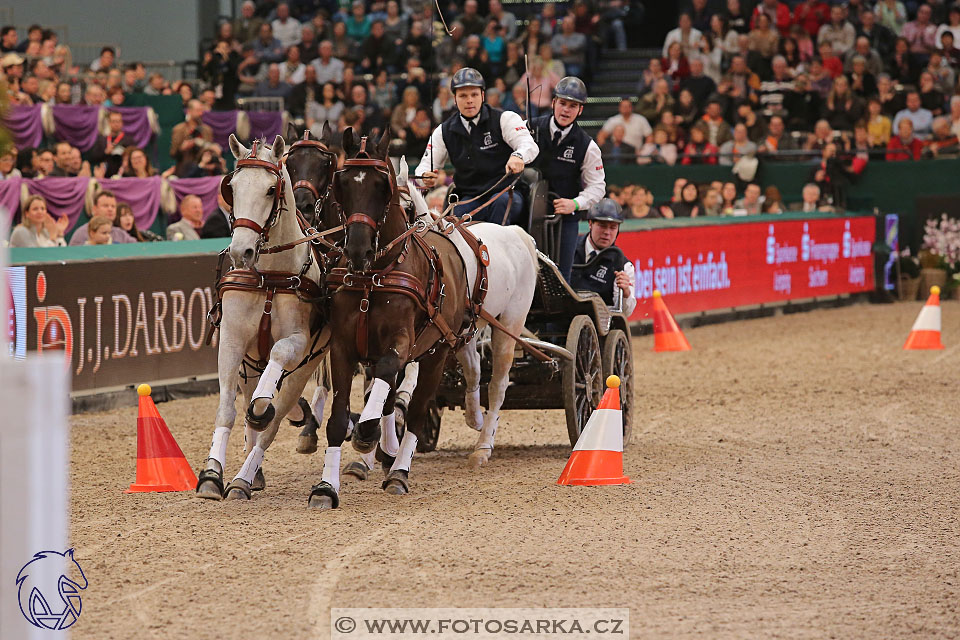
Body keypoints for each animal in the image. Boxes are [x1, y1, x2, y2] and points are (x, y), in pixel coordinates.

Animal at [197, 136, 328, 500]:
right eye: (232, 187)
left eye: (271, 189)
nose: (241, 251)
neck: (269, 277)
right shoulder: (232, 341)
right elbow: (226, 410)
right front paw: (211, 474)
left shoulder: (298, 343)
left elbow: (267, 396)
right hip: (249, 365)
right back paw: (250, 476)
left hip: (307, 365)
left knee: (273, 417)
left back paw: (244, 477)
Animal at [312, 127, 468, 510]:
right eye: (342, 184)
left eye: (382, 185)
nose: (357, 249)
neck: (374, 277)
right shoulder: (342, 348)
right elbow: (338, 419)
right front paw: (326, 487)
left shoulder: (401, 343)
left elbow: (387, 380)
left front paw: (367, 435)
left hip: (436, 354)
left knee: (416, 413)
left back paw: (398, 471)